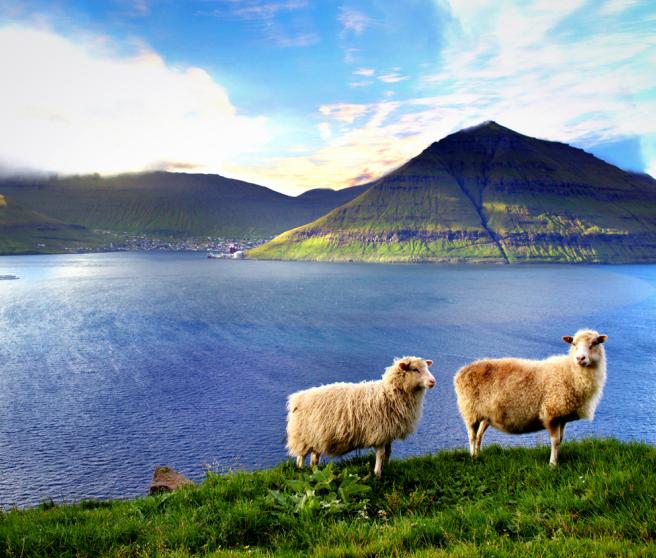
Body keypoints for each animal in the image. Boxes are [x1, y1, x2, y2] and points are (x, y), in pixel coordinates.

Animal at [286, 356, 436, 478]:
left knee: (314, 457)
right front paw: (377, 474)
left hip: (316, 437)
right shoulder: (380, 432)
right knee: (300, 457)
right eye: (415, 369)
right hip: (303, 436)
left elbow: (388, 452)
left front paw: (387, 467)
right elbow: (380, 454)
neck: (389, 393)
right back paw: (301, 471)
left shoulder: (388, 432)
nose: (433, 381)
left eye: (426, 367)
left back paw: (314, 470)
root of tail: (297, 398)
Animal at [453, 329, 607, 466]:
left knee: (479, 435)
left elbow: (561, 440)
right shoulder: (550, 413)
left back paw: (478, 455)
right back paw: (473, 457)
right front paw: (552, 464)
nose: (580, 358)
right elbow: (555, 441)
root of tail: (461, 372)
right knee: (472, 435)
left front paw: (557, 459)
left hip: (485, 414)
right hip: (470, 411)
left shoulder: (561, 417)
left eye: (595, 343)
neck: (570, 372)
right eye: (573, 343)